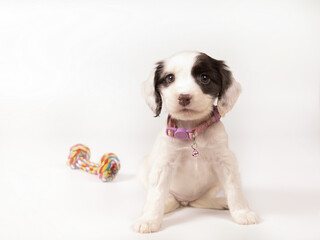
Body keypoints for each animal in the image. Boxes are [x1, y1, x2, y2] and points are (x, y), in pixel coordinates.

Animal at [134, 50, 258, 232]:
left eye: (204, 78)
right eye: (170, 78)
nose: (184, 97)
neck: (192, 132)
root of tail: (185, 200)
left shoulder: (226, 161)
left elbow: (234, 188)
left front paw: (242, 212)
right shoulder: (164, 164)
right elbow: (156, 194)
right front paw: (149, 219)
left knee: (200, 200)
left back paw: (220, 202)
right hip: (144, 167)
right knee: (169, 199)